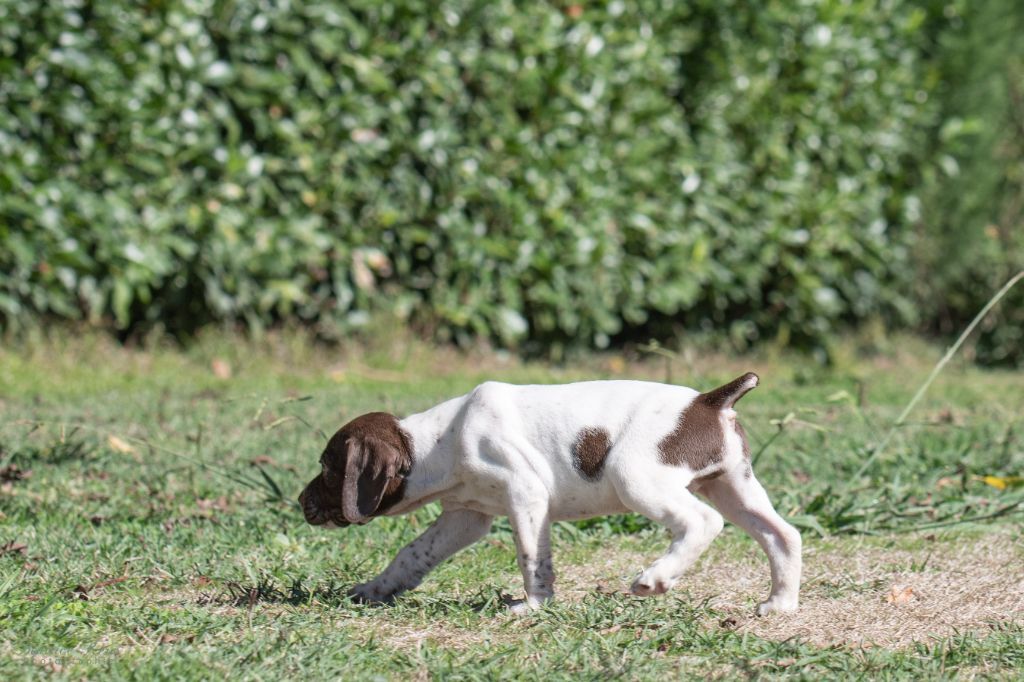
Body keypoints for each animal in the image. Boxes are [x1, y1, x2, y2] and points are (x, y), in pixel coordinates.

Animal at [299, 374, 802, 614]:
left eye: (327, 468)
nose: (301, 503)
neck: (435, 443)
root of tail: (708, 401)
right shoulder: (466, 515)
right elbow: (410, 555)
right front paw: (375, 589)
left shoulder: (525, 495)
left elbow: (530, 558)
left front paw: (534, 606)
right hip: (732, 485)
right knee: (783, 535)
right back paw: (779, 604)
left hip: (635, 476)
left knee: (702, 522)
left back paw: (656, 578)